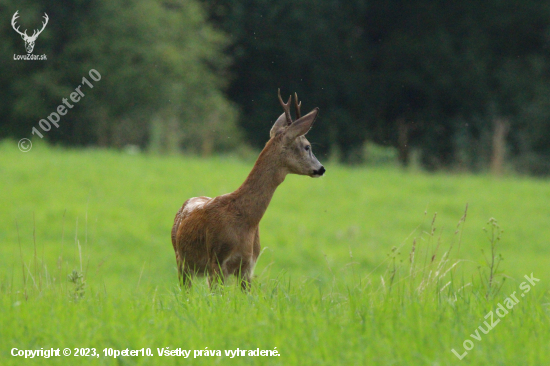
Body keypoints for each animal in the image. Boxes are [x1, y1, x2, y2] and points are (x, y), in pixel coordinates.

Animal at [172, 90, 326, 290]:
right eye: (307, 146)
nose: (321, 168)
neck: (245, 219)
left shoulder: (248, 266)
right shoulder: (217, 260)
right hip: (181, 261)